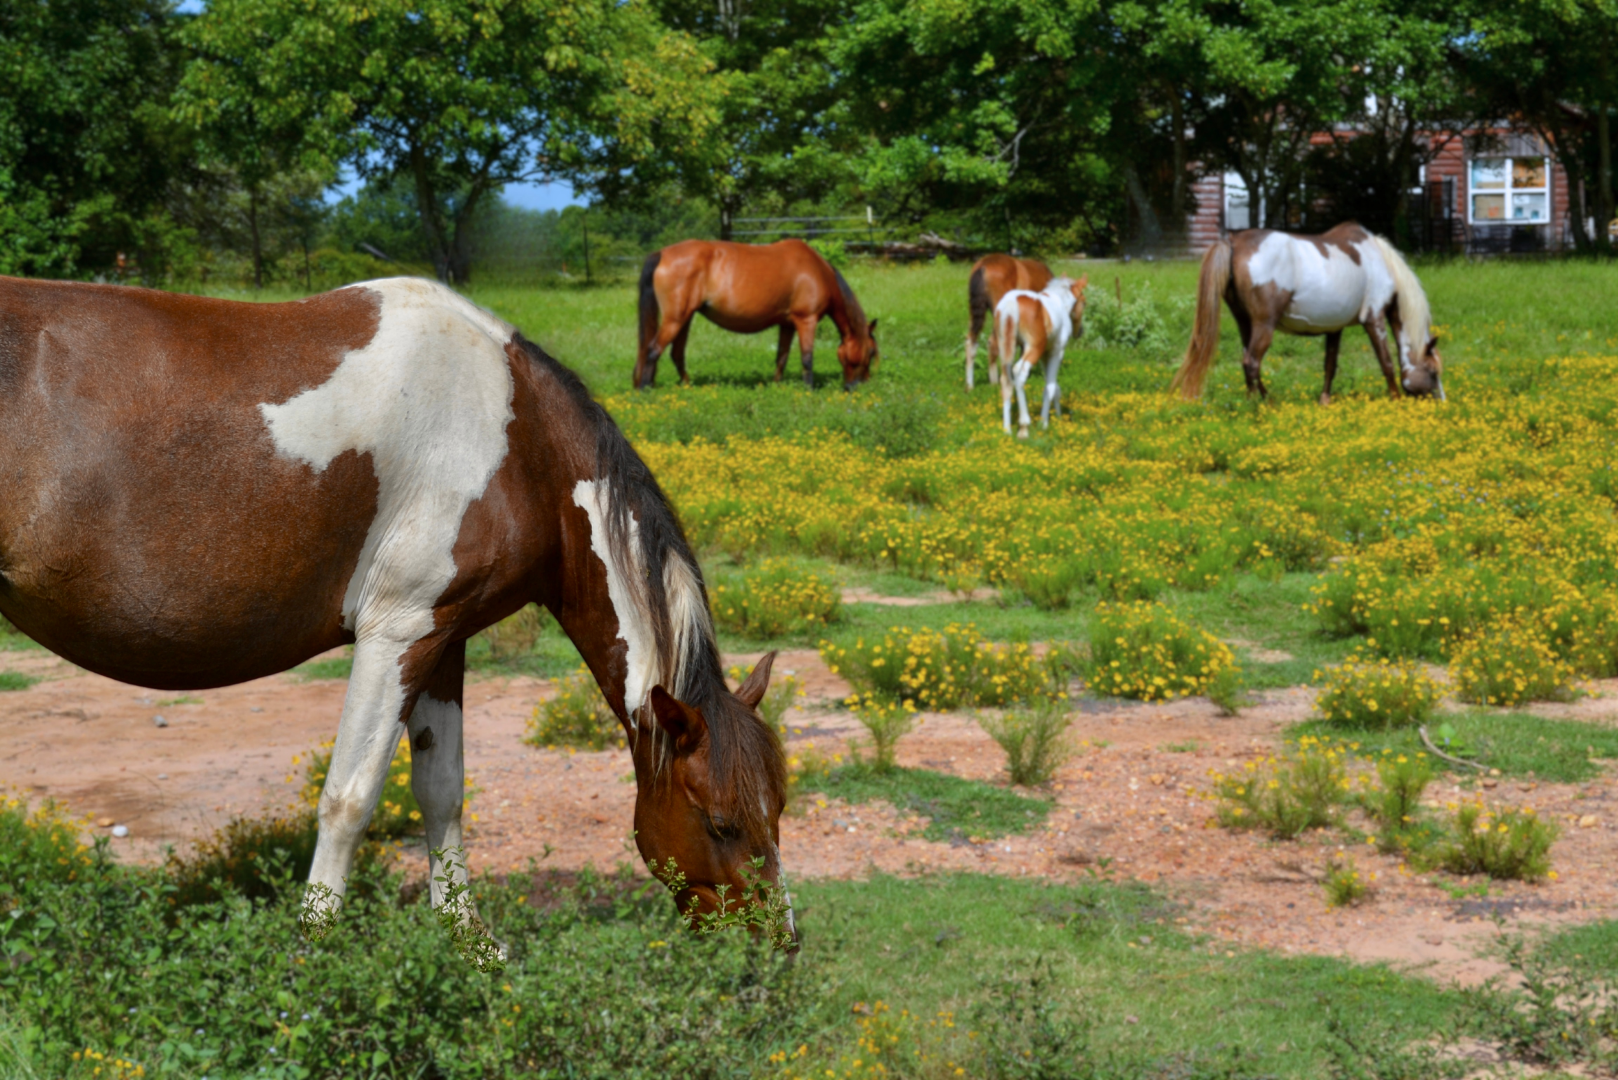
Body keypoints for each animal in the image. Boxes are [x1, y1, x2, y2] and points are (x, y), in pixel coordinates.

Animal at [0, 275, 795, 958]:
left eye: (778, 808)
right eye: (721, 822)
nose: (778, 943)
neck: (516, 443)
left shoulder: (445, 637)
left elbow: (442, 793)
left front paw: (473, 949)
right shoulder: (398, 631)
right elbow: (349, 799)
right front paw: (314, 954)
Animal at [634, 239, 879, 391]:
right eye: (872, 352)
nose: (859, 386)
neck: (818, 271)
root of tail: (662, 253)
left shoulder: (787, 324)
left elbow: (782, 357)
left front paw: (776, 386)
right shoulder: (807, 321)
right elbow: (807, 358)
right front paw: (808, 390)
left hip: (684, 318)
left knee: (676, 354)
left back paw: (687, 386)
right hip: (676, 319)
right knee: (653, 350)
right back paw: (645, 390)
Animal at [993, 275, 1088, 437]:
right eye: (1084, 302)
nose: (1080, 331)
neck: (1060, 302)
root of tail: (1010, 304)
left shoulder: (1045, 355)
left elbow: (1052, 385)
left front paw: (1057, 416)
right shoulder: (1056, 352)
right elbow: (1050, 386)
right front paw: (1044, 423)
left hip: (1006, 348)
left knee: (1006, 379)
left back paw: (1007, 429)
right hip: (1033, 348)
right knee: (1019, 373)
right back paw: (1024, 426)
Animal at [1171, 223, 1444, 403]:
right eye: (1433, 372)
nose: (1442, 403)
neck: (1380, 261)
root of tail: (1233, 241)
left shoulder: (1335, 328)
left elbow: (1330, 365)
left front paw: (1324, 400)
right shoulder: (1374, 318)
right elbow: (1386, 362)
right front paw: (1395, 400)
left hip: (1245, 323)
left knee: (1247, 360)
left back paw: (1262, 399)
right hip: (1264, 325)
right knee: (1252, 362)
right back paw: (1259, 406)